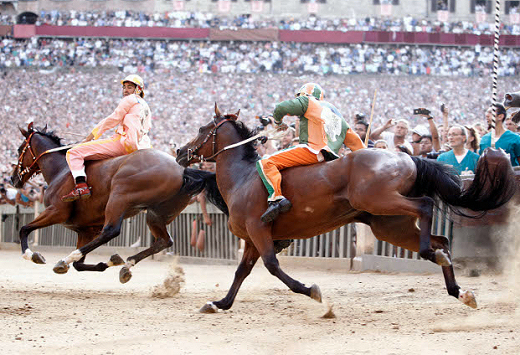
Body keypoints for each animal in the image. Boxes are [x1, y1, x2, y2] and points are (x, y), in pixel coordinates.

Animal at [11, 123, 217, 284]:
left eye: (20, 149)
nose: (13, 178)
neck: (60, 170)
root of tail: (182, 170)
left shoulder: (56, 211)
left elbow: (24, 229)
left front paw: (32, 255)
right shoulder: (85, 229)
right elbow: (80, 265)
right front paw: (105, 263)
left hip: (119, 196)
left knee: (111, 230)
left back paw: (67, 259)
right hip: (157, 213)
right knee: (164, 241)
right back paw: (126, 264)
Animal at [177, 105, 516, 314]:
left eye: (202, 127)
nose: (180, 151)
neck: (244, 177)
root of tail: (406, 157)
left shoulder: (259, 230)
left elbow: (272, 266)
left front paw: (310, 290)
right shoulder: (251, 237)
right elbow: (241, 271)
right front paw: (220, 303)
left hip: (381, 201)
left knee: (427, 206)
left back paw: (430, 255)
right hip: (389, 225)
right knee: (441, 240)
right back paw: (458, 289)